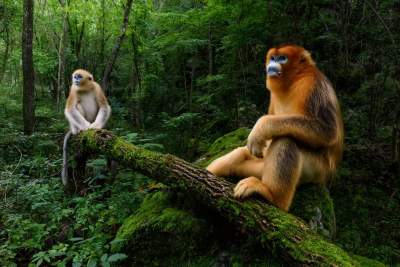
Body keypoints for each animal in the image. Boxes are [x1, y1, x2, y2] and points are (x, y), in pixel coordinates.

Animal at [206, 45, 344, 211]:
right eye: (273, 58)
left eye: (282, 58)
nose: (272, 64)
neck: (293, 80)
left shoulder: (313, 85)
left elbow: (328, 132)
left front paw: (260, 129)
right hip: (261, 167)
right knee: (241, 154)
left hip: (315, 170)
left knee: (286, 139)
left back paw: (272, 197)